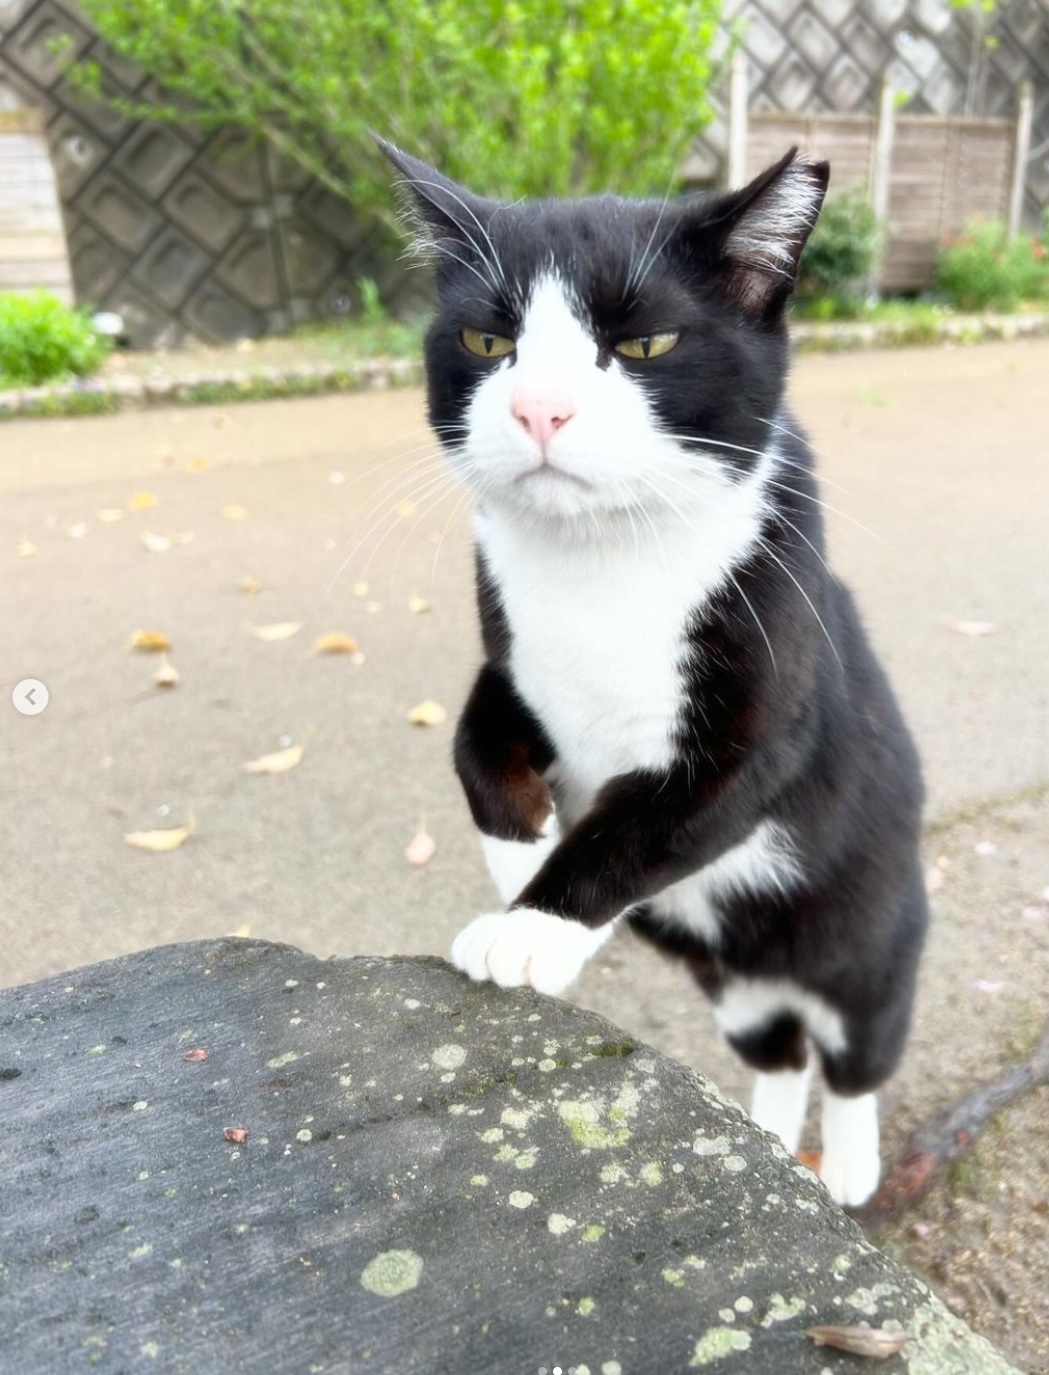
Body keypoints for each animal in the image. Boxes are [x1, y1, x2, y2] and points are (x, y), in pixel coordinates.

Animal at [384, 139, 929, 1204]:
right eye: (485, 340)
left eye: (643, 347)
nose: (537, 406)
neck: (601, 566)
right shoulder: (513, 650)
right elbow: (473, 737)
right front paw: (519, 855)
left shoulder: (765, 726)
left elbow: (644, 823)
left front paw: (532, 924)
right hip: (738, 994)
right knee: (776, 1054)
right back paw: (771, 1144)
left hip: (872, 942)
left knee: (856, 1054)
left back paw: (846, 1165)